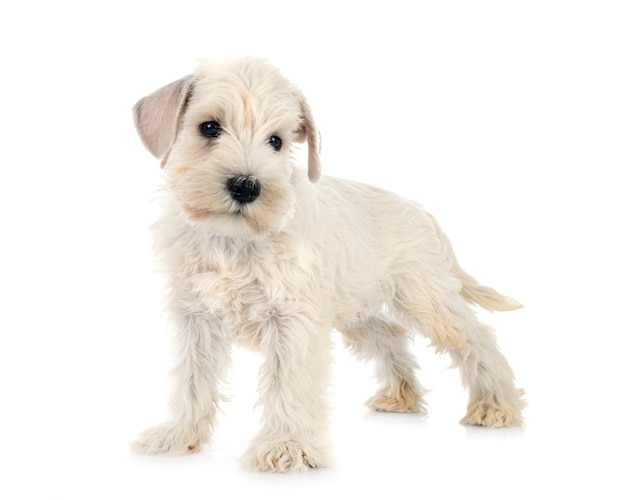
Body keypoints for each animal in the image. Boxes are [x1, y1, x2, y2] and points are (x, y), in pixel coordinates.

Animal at [129, 58, 524, 472]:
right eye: (209, 127)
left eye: (276, 141)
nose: (245, 186)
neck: (233, 240)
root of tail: (421, 211)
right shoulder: (196, 320)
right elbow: (191, 380)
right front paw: (178, 435)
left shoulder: (293, 322)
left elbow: (288, 383)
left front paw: (286, 446)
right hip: (357, 310)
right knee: (390, 334)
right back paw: (400, 396)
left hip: (427, 302)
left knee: (478, 339)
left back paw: (497, 406)